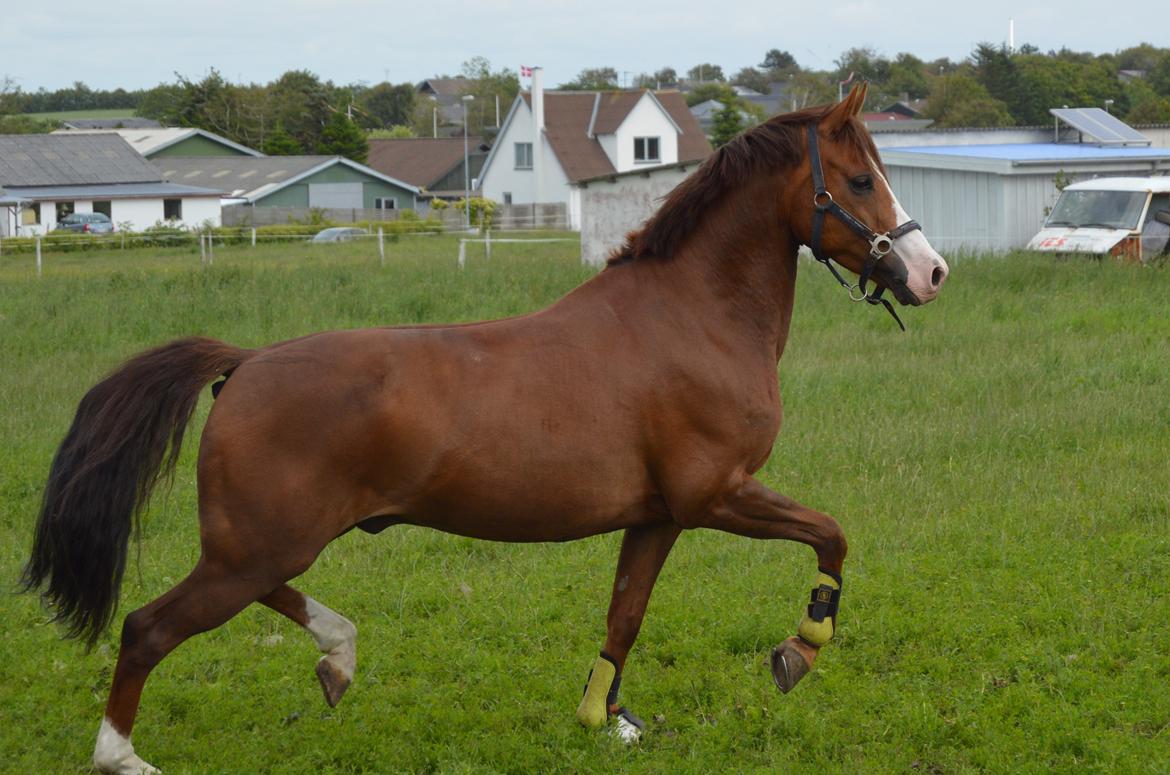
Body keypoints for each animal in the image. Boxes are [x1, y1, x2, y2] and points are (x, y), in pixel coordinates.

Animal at [22, 84, 945, 775]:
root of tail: (243, 364)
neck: (691, 316)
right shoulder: (716, 494)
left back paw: (337, 656)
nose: (930, 272)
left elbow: (625, 615)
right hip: (256, 544)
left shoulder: (657, 516)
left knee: (258, 597)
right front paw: (800, 649)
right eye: (860, 181)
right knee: (148, 627)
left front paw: (604, 717)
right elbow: (832, 535)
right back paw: (122, 754)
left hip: (261, 542)